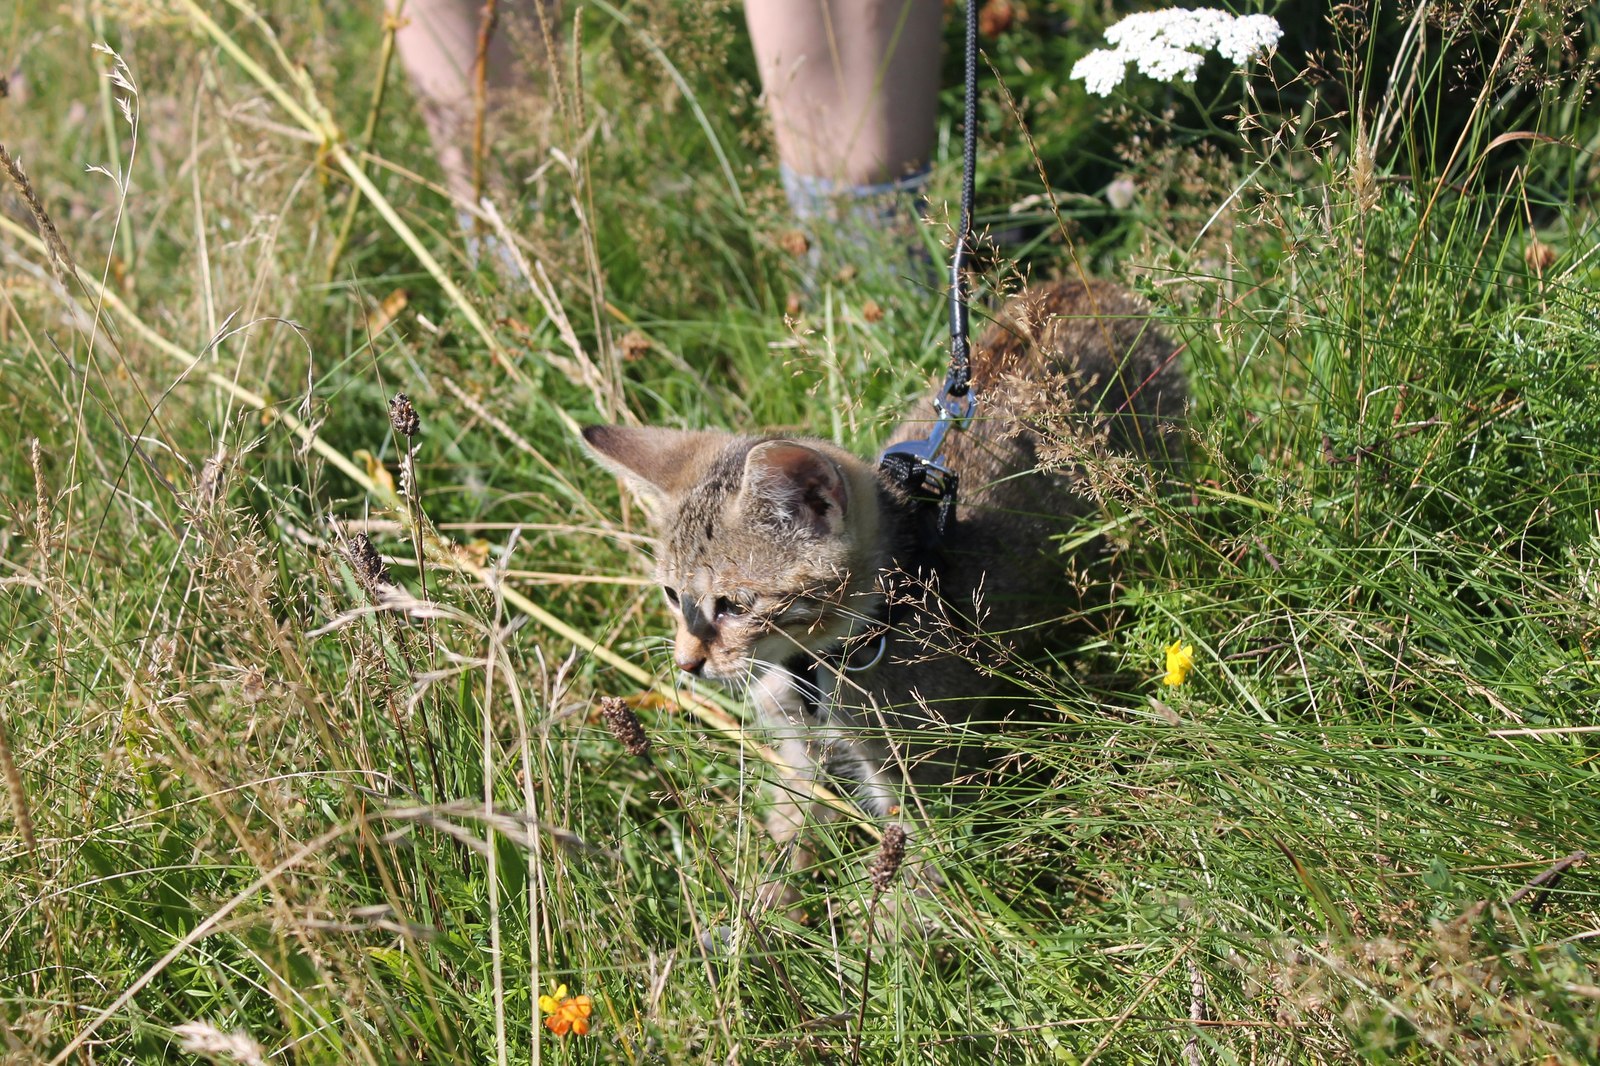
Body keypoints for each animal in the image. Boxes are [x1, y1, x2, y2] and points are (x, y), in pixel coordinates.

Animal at [582, 275, 1184, 896]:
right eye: (672, 596)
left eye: (734, 605)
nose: (686, 663)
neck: (814, 666)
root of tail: (1089, 285)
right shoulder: (799, 751)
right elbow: (790, 824)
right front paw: (766, 907)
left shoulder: (926, 772)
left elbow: (921, 874)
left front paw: (901, 919)